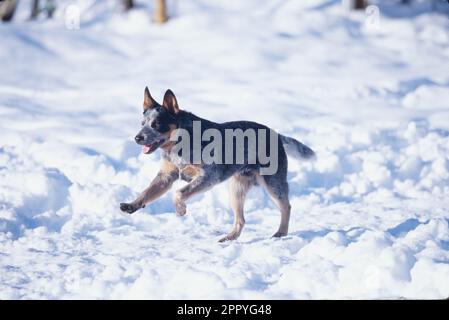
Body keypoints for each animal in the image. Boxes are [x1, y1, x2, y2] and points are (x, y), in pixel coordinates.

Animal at [120, 86, 316, 241]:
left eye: (157, 124)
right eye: (142, 123)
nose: (138, 137)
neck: (179, 144)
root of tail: (276, 135)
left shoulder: (208, 176)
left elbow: (178, 193)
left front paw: (180, 210)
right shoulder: (166, 176)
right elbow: (146, 192)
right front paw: (132, 205)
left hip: (272, 183)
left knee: (286, 206)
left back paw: (280, 233)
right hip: (236, 189)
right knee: (241, 220)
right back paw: (229, 237)